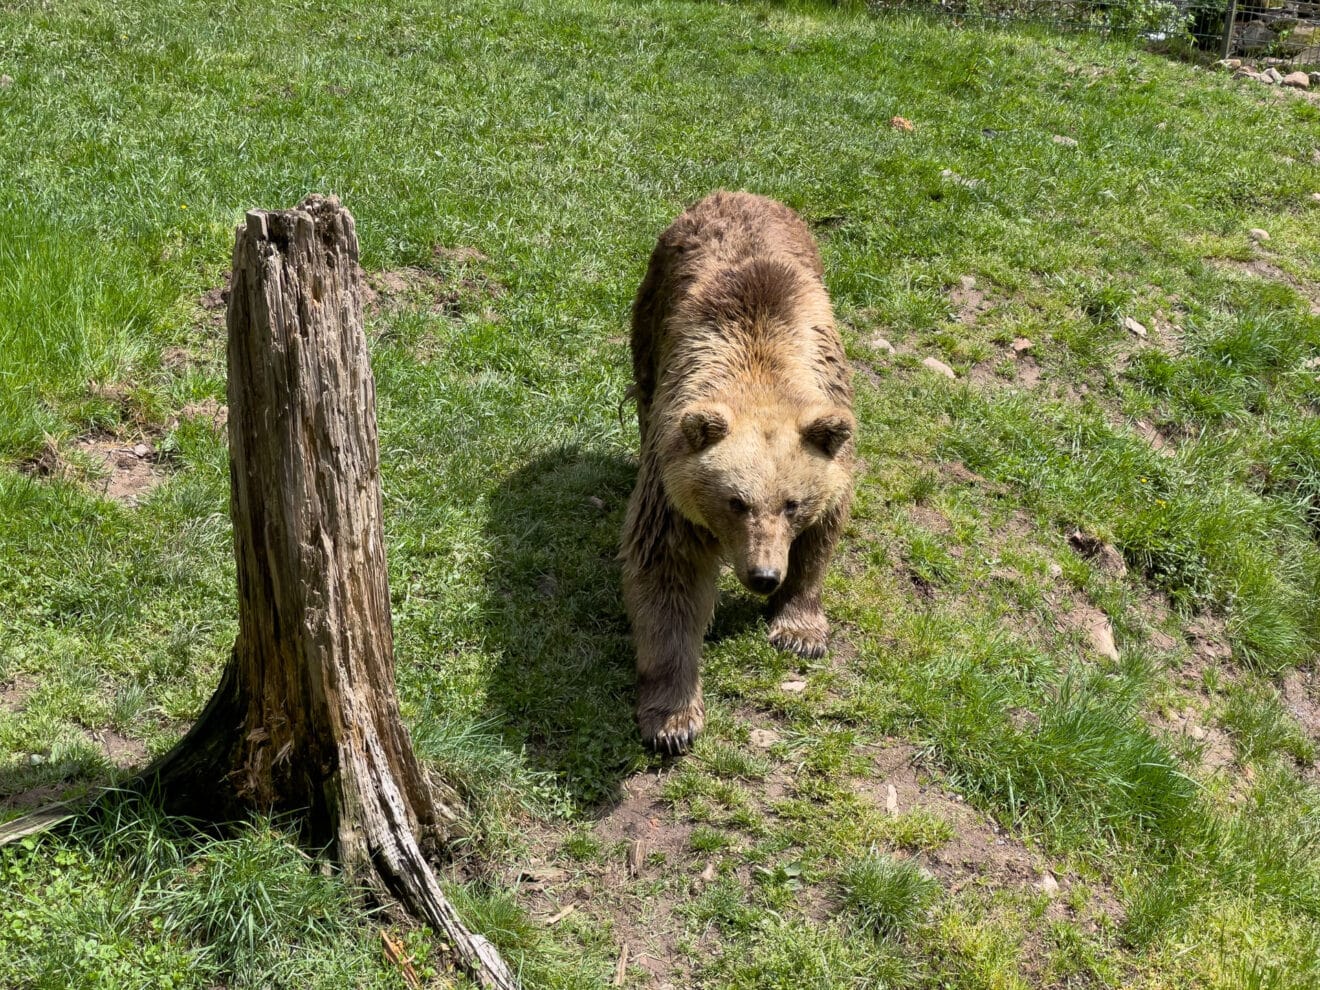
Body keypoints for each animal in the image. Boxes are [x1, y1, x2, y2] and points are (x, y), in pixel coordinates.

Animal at [620, 190, 856, 755]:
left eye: (792, 504)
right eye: (735, 501)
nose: (764, 576)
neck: (761, 374)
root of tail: (735, 194)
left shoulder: (832, 447)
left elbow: (821, 538)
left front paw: (800, 630)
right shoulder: (672, 492)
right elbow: (667, 574)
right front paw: (673, 720)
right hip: (652, 314)